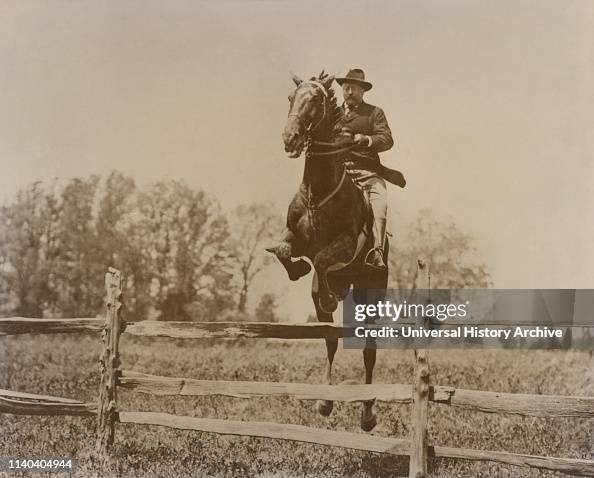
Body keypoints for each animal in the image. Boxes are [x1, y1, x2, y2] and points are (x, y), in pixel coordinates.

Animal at [268, 72, 388, 434]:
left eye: (315, 101)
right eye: (291, 98)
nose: (289, 138)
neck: (318, 189)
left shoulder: (347, 243)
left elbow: (323, 259)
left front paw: (330, 295)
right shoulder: (295, 239)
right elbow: (283, 251)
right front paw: (299, 271)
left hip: (371, 293)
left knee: (368, 351)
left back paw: (368, 414)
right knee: (330, 338)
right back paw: (324, 401)